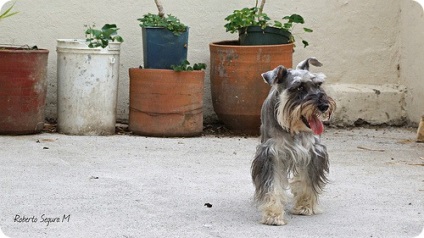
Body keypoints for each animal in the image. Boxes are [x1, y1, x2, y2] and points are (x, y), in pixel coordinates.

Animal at [252, 57, 334, 225]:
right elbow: (272, 186)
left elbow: (308, 180)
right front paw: (273, 214)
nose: (324, 105)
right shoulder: (271, 154)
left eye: (318, 84)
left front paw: (305, 206)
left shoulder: (312, 151)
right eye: (298, 87)